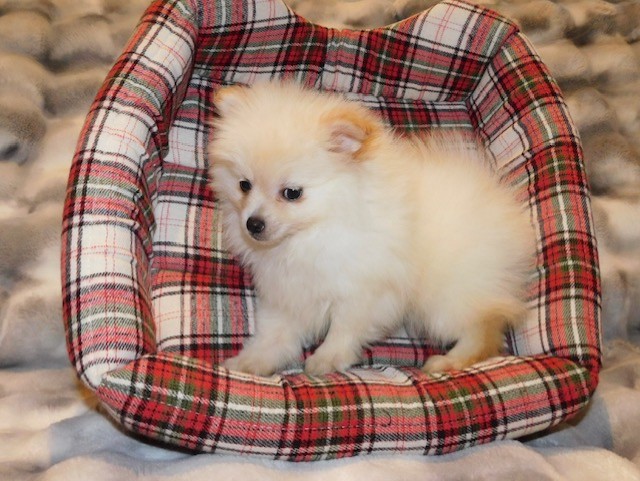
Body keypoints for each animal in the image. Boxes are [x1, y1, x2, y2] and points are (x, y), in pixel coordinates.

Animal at [208, 81, 535, 376]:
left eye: (292, 193)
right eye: (244, 185)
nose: (253, 224)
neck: (315, 232)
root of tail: (504, 208)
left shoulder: (366, 292)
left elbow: (344, 328)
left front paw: (326, 359)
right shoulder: (289, 292)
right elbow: (274, 334)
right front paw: (249, 364)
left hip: (446, 299)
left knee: (486, 329)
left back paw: (448, 362)